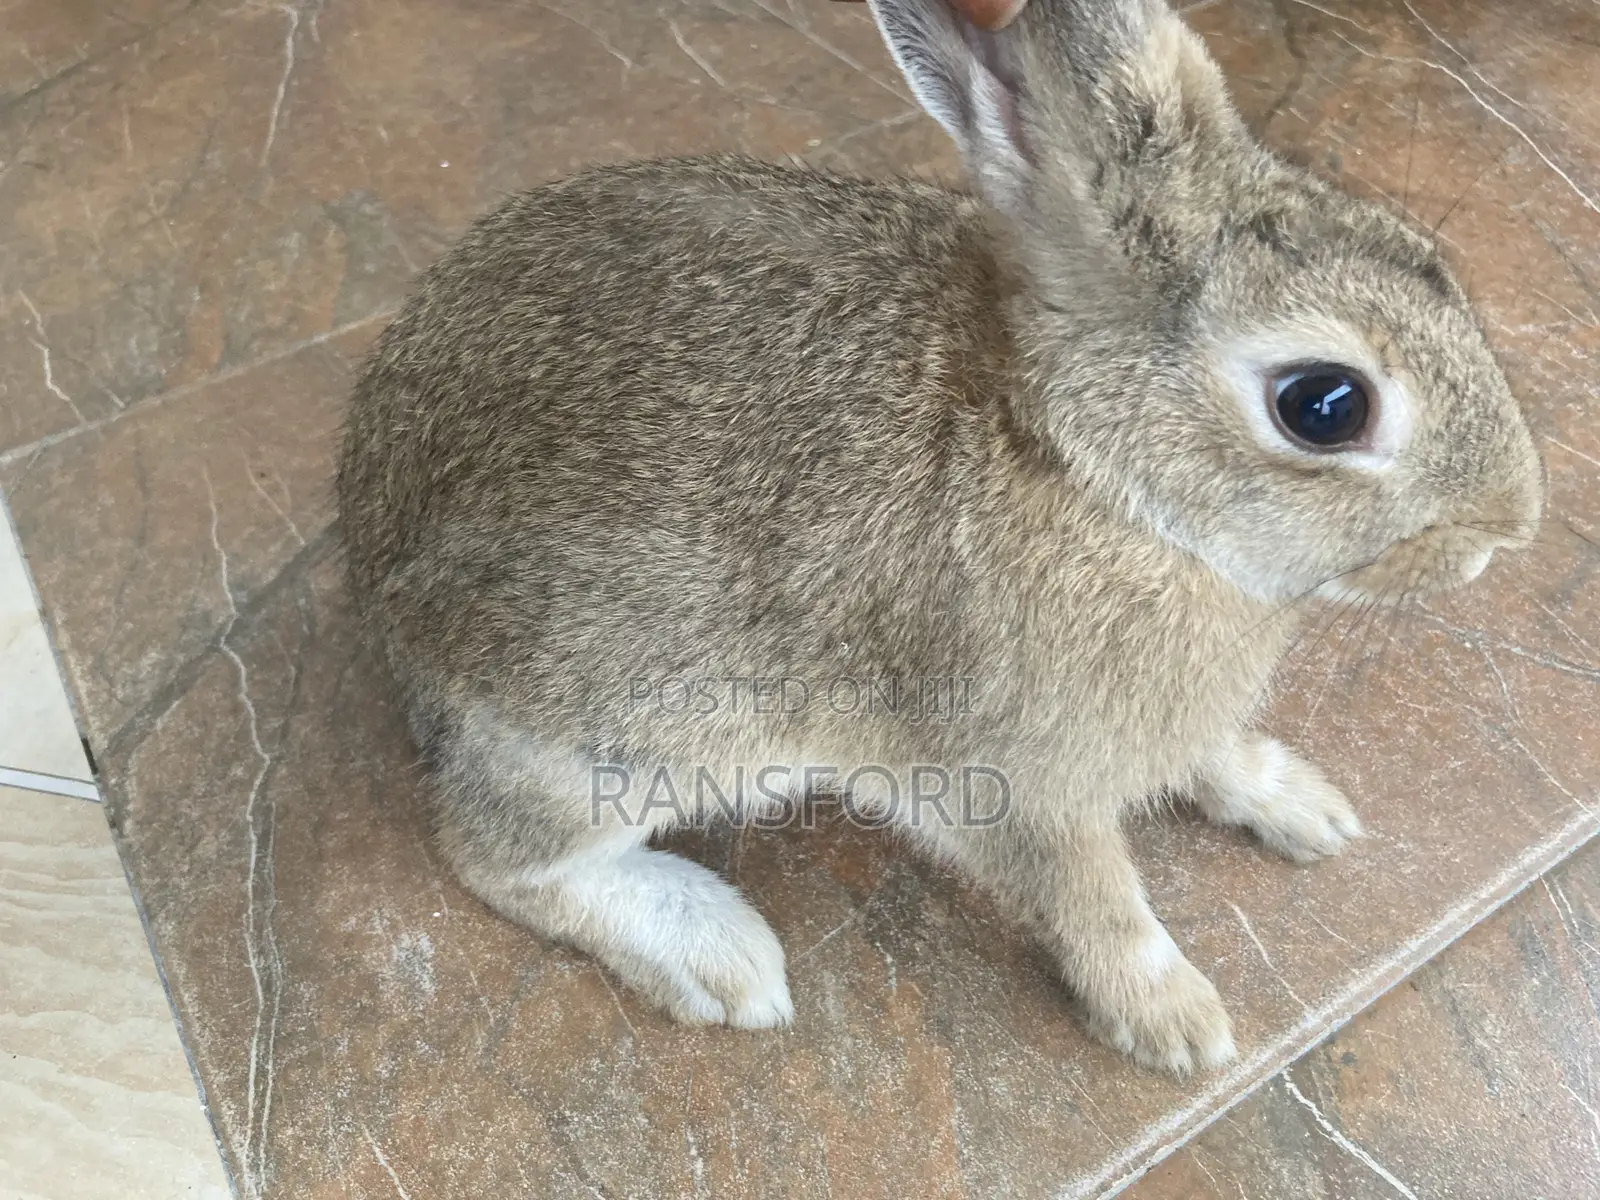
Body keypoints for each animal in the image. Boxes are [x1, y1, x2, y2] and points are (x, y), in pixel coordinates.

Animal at [336, 0, 1542, 1075]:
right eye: (1324, 405)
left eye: (1416, 250)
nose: (1512, 524)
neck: (1087, 468)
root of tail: (364, 552)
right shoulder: (1018, 781)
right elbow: (1097, 904)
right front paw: (1175, 1026)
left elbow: (1209, 754)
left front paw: (1301, 808)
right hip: (617, 737)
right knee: (492, 858)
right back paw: (719, 955)